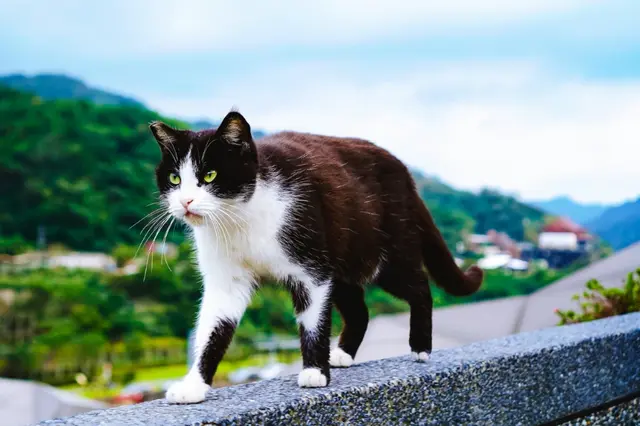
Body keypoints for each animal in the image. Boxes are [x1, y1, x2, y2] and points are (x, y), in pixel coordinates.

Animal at [149, 109, 480, 402]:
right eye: (175, 179)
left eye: (210, 175)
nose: (186, 202)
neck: (240, 220)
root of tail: (404, 172)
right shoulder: (225, 281)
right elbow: (211, 331)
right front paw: (193, 386)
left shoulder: (310, 269)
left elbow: (313, 321)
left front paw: (314, 372)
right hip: (344, 259)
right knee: (360, 310)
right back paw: (342, 354)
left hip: (384, 253)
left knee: (420, 287)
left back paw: (421, 347)